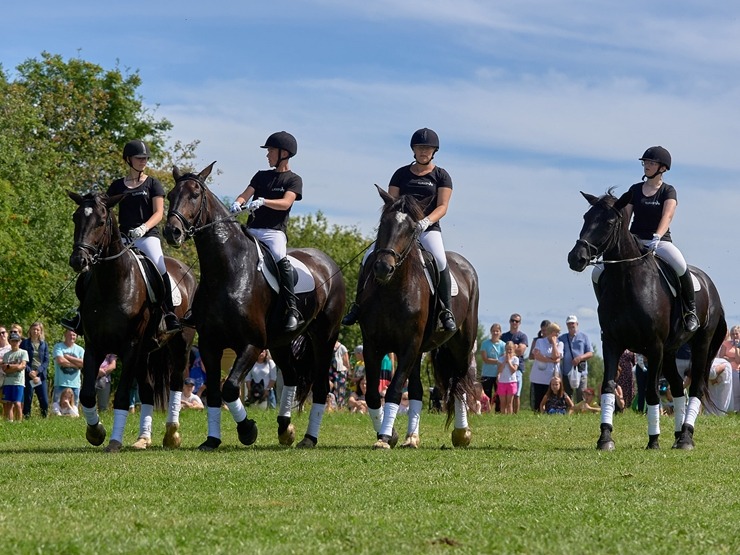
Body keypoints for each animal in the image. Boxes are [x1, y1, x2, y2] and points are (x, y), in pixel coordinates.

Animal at [67, 191, 197, 452]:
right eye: (76, 217)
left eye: (101, 221)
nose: (79, 260)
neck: (112, 281)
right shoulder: (94, 346)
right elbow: (87, 395)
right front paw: (96, 432)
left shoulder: (130, 347)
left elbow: (122, 396)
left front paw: (114, 441)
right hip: (145, 354)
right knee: (147, 391)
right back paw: (142, 439)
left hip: (180, 345)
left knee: (177, 383)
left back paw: (172, 435)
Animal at [163, 163, 346, 450]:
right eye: (171, 195)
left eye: (194, 194)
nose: (172, 232)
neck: (227, 271)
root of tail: (327, 261)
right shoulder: (210, 345)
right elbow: (214, 392)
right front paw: (212, 440)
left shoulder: (252, 344)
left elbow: (229, 388)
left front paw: (247, 430)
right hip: (281, 342)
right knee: (291, 376)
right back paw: (285, 429)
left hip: (324, 337)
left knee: (320, 387)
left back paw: (308, 438)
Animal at [358, 185, 480, 450]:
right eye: (384, 223)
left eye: (412, 229)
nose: (383, 268)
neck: (392, 290)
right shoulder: (373, 344)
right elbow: (372, 393)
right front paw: (388, 434)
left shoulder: (408, 345)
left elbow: (394, 391)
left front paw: (385, 437)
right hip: (420, 350)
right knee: (416, 389)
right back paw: (411, 437)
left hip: (462, 344)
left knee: (460, 382)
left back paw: (461, 433)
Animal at [568, 191, 724, 452]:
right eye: (585, 217)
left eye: (609, 222)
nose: (576, 258)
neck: (627, 281)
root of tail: (709, 284)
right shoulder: (611, 342)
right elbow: (608, 386)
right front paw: (605, 438)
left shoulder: (654, 346)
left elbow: (651, 392)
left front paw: (653, 440)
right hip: (670, 351)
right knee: (677, 386)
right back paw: (677, 435)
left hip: (700, 343)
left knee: (695, 388)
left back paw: (686, 437)